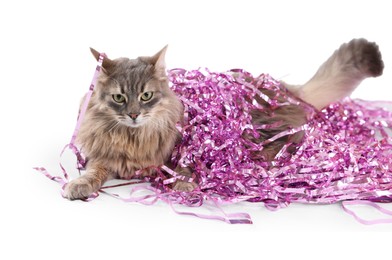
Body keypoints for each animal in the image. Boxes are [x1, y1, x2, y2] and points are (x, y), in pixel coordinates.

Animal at [63, 38, 382, 199]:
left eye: (145, 96)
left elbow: (185, 166)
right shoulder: (104, 157)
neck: (133, 137)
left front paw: (184, 184)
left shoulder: (184, 148)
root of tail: (281, 89)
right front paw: (78, 186)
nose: (133, 114)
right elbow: (92, 172)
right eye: (119, 98)